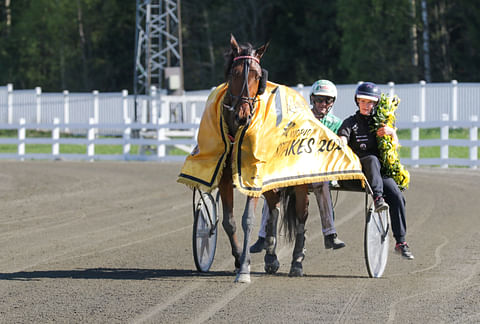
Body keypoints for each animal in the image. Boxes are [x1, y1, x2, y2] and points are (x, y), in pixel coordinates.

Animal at [218, 34, 310, 282]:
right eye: (234, 73)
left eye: (257, 76)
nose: (242, 115)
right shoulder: (224, 179)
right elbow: (229, 222)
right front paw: (238, 258)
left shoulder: (253, 177)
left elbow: (248, 219)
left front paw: (244, 268)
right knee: (274, 208)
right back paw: (271, 256)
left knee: (301, 215)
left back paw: (297, 261)